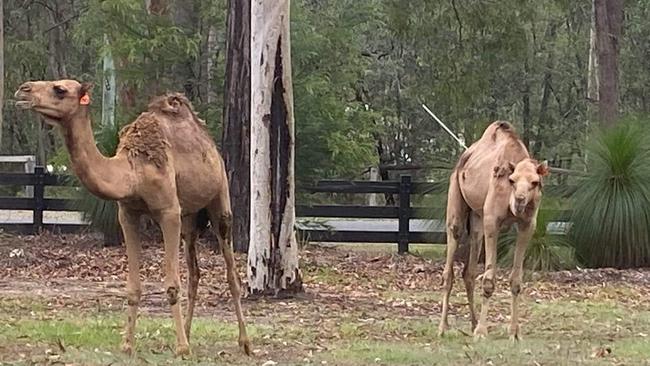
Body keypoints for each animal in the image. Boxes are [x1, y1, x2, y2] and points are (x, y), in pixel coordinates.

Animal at [13, 78, 251, 356]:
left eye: (59, 89)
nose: (23, 90)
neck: (133, 173)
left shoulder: (169, 212)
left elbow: (172, 285)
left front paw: (181, 349)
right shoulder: (128, 213)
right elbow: (133, 287)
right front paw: (127, 345)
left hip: (220, 198)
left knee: (231, 273)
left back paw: (244, 343)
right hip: (190, 218)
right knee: (194, 272)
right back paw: (189, 333)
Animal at [436, 121, 548, 342]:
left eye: (535, 182)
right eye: (512, 180)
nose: (520, 200)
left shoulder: (527, 225)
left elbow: (516, 280)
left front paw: (514, 332)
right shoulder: (492, 222)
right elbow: (488, 280)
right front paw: (481, 332)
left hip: (477, 220)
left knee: (468, 272)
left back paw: (472, 324)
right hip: (456, 206)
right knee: (449, 269)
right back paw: (443, 327)